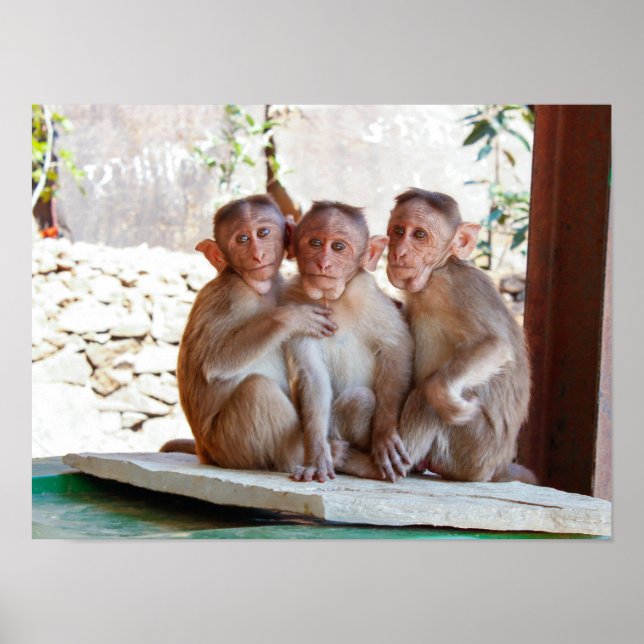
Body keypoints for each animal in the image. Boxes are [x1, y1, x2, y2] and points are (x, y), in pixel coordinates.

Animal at [162, 194, 342, 473]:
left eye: (263, 233)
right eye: (242, 239)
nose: (258, 256)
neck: (256, 287)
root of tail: (204, 452)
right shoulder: (234, 295)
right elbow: (214, 363)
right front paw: (292, 317)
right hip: (229, 444)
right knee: (257, 389)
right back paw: (302, 457)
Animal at [283, 200, 414, 483]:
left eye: (339, 247)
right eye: (316, 242)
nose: (323, 264)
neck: (329, 300)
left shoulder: (366, 293)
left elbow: (397, 347)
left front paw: (385, 433)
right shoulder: (292, 302)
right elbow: (313, 376)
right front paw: (317, 456)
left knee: (360, 399)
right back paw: (340, 454)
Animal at [385, 187, 535, 484]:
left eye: (420, 235)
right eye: (398, 230)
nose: (399, 252)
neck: (439, 269)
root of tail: (498, 466)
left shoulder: (453, 288)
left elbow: (496, 346)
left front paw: (442, 395)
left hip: (472, 452)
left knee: (425, 395)